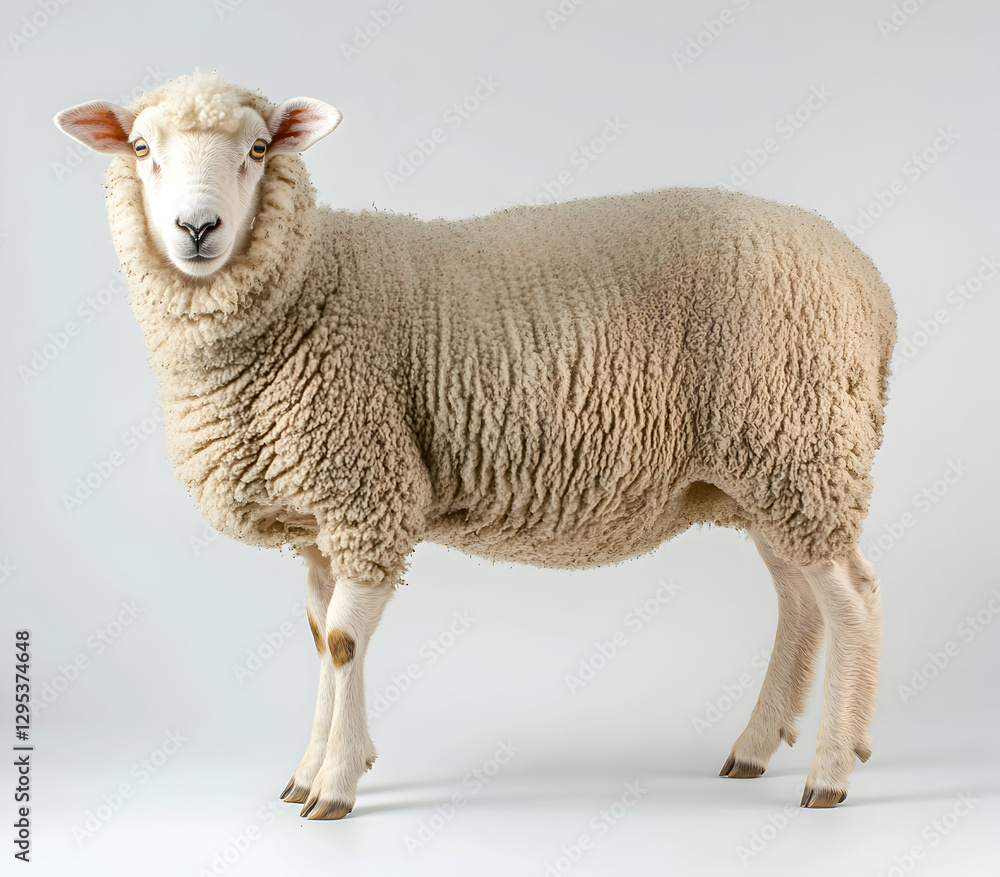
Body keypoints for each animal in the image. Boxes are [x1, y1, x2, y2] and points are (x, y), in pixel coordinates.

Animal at [55, 72, 896, 819]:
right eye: (140, 147)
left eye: (259, 148)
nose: (199, 230)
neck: (306, 288)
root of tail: (868, 281)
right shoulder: (321, 520)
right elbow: (319, 640)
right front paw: (310, 769)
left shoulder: (369, 491)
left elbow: (343, 644)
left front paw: (335, 787)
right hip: (769, 468)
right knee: (800, 598)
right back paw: (756, 745)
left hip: (799, 442)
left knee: (852, 599)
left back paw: (831, 770)